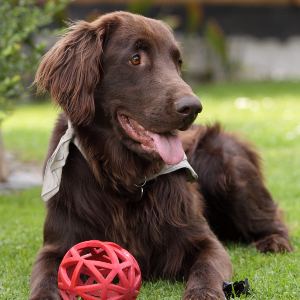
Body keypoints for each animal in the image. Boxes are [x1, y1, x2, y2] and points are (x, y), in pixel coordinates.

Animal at [29, 11, 290, 300]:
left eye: (178, 62)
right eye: (135, 59)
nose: (193, 107)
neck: (126, 180)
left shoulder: (205, 242)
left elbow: (207, 269)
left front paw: (203, 293)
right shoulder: (56, 245)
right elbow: (44, 278)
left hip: (226, 166)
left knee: (273, 218)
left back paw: (274, 242)